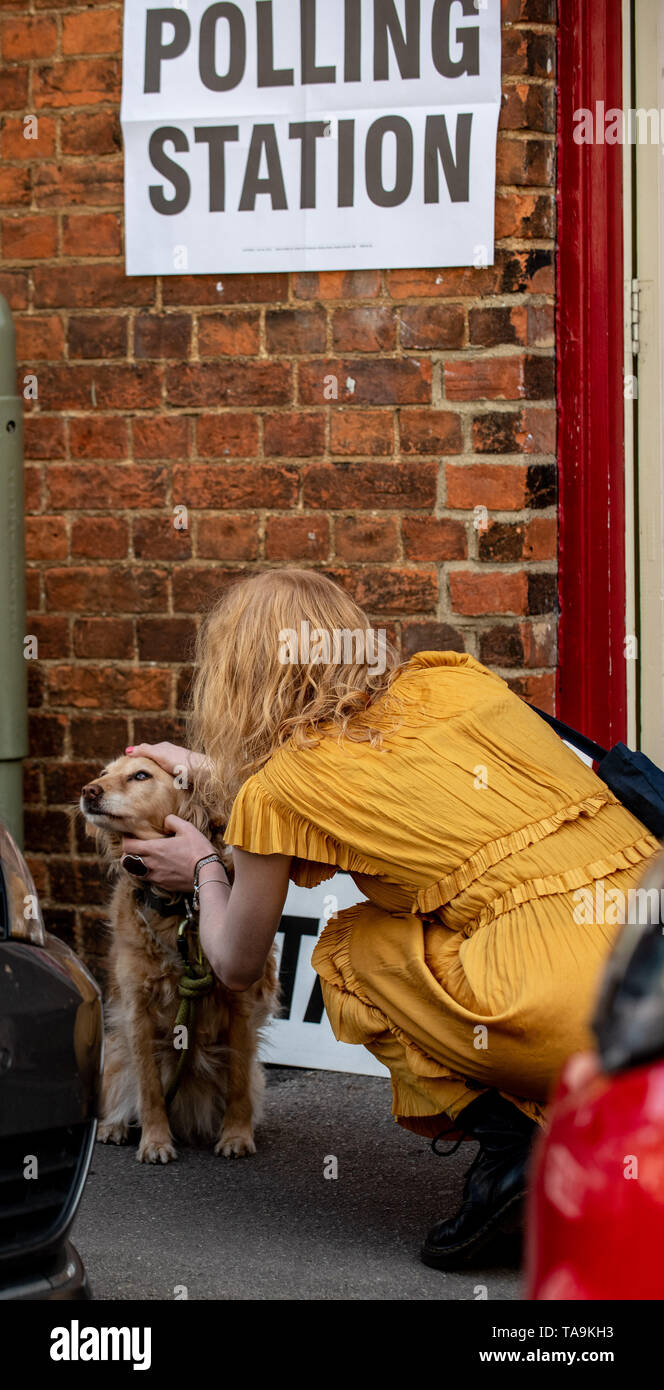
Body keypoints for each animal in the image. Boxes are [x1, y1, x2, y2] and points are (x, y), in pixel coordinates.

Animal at [79, 761, 279, 1162]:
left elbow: (238, 1081)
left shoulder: (242, 1006)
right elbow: (149, 1088)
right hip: (116, 1054)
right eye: (104, 773)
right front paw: (155, 1141)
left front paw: (236, 1135)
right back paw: (114, 1127)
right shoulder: (137, 1012)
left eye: (141, 775)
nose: (88, 791)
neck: (178, 907)